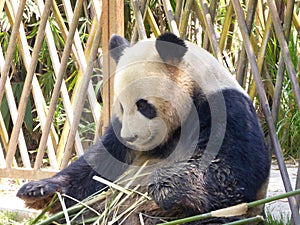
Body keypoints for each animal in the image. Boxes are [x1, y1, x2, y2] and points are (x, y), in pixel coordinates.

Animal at [17, 32, 270, 224]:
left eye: (143, 105)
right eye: (120, 105)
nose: (131, 137)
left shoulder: (225, 109)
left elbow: (229, 172)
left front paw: (165, 185)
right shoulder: (117, 135)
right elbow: (96, 169)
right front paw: (37, 190)